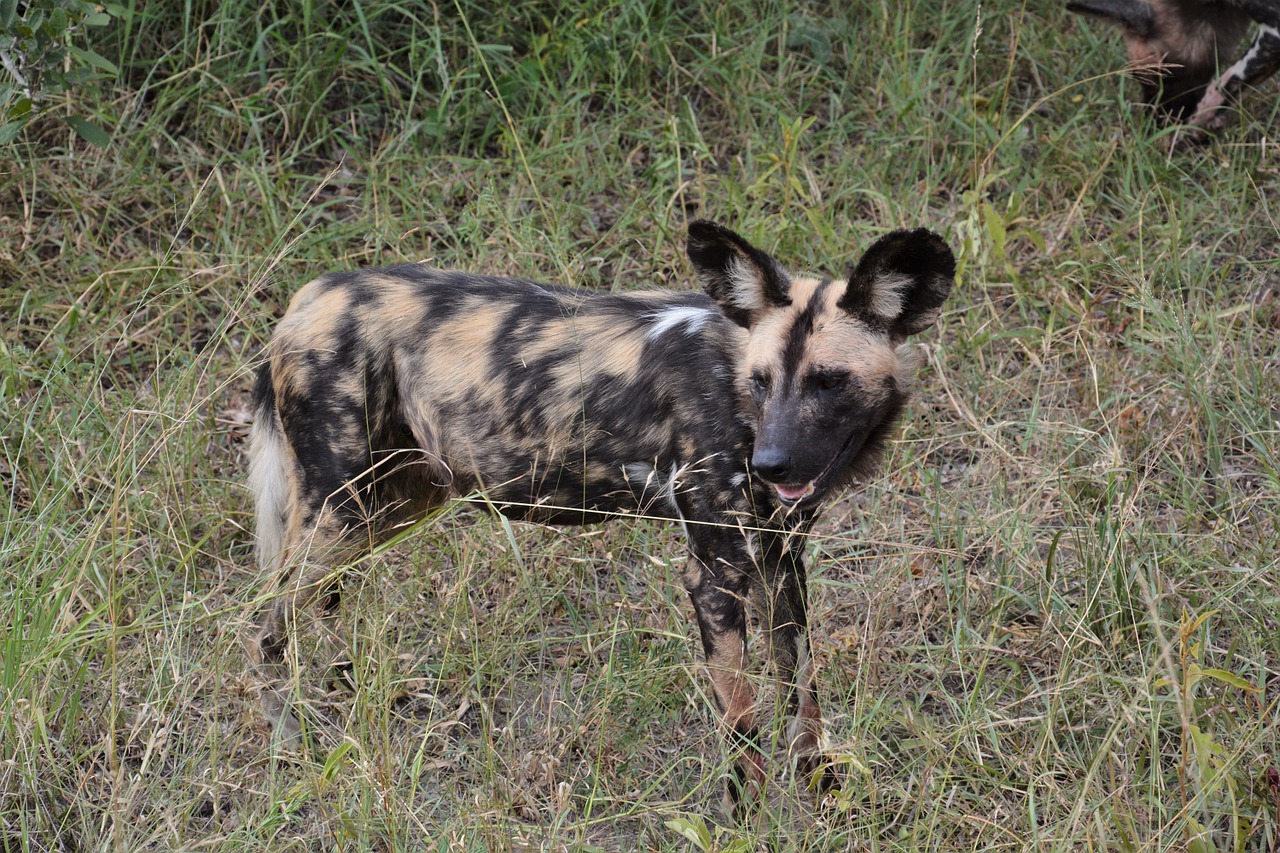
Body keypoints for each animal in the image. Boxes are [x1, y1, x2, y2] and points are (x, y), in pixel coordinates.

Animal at [244, 219, 957, 809]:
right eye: (759, 382)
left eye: (829, 382)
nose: (772, 464)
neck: (731, 384)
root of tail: (305, 300)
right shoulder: (716, 574)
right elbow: (742, 723)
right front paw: (748, 819)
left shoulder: (781, 561)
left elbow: (801, 692)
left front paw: (819, 790)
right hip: (339, 511)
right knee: (263, 622)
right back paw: (294, 731)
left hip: (390, 506)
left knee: (306, 610)